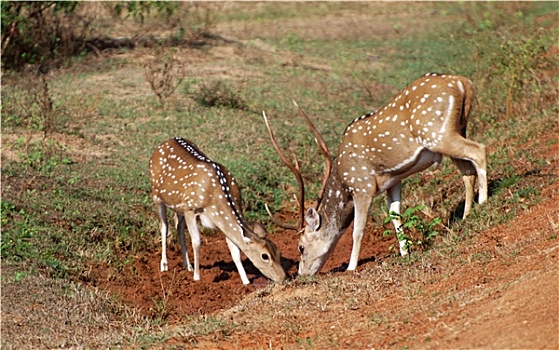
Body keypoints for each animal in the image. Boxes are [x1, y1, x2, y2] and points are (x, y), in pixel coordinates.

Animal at [149, 137, 286, 284]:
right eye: (265, 256)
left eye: (278, 251)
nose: (283, 277)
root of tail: (165, 142)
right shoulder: (190, 208)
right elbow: (196, 242)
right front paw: (197, 277)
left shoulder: (220, 220)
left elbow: (235, 251)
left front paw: (246, 282)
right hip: (156, 195)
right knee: (164, 226)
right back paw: (165, 265)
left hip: (178, 205)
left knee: (178, 226)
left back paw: (188, 266)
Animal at [264, 73, 488, 276]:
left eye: (301, 247)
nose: (302, 274)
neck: (343, 181)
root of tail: (462, 83)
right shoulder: (394, 180)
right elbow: (395, 214)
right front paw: (405, 252)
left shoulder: (362, 186)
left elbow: (358, 229)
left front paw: (351, 267)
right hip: (457, 129)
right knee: (468, 171)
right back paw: (466, 216)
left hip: (437, 134)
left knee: (479, 150)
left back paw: (484, 201)